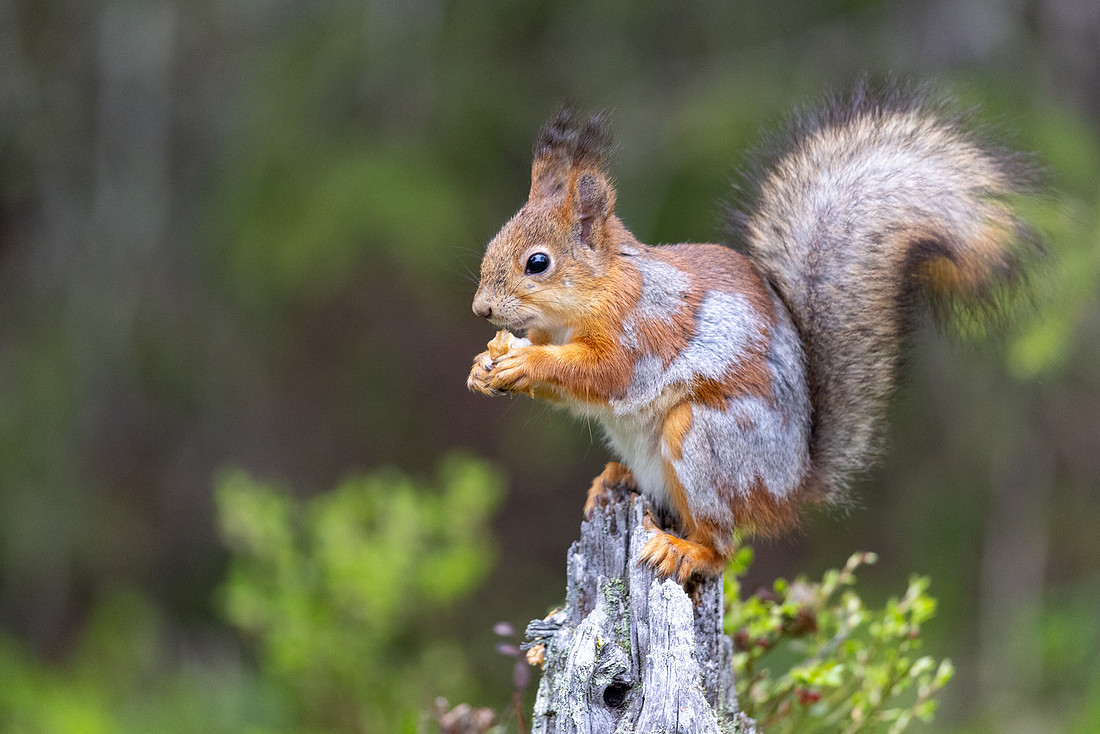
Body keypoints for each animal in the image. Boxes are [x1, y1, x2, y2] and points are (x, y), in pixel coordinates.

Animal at [467, 82, 1041, 582]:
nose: (481, 309)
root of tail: (791, 488)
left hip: (708, 441)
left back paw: (685, 550)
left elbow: (607, 374)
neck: (595, 295)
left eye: (537, 263)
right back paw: (614, 479)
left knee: (722, 545)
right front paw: (484, 366)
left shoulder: (645, 329)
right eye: (495, 241)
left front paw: (524, 361)